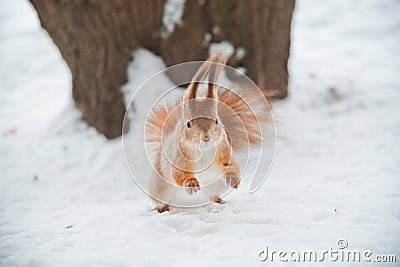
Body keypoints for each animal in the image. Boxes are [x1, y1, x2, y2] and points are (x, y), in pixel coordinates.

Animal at [145, 52, 270, 214]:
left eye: (216, 121)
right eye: (188, 124)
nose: (205, 138)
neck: (203, 151)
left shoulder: (224, 149)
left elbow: (232, 164)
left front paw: (232, 177)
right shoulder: (179, 158)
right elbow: (179, 174)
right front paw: (191, 183)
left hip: (213, 186)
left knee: (213, 196)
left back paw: (220, 202)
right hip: (160, 188)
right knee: (159, 201)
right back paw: (162, 209)